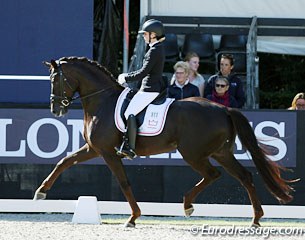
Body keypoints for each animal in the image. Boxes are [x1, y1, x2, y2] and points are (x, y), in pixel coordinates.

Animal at [34, 56, 294, 227]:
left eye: (56, 79)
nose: (55, 109)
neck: (102, 101)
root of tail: (223, 109)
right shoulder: (94, 148)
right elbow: (65, 161)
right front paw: (41, 192)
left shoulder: (107, 152)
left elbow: (124, 182)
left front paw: (133, 218)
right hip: (221, 152)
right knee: (245, 176)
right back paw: (255, 219)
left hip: (193, 153)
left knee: (213, 175)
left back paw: (188, 205)